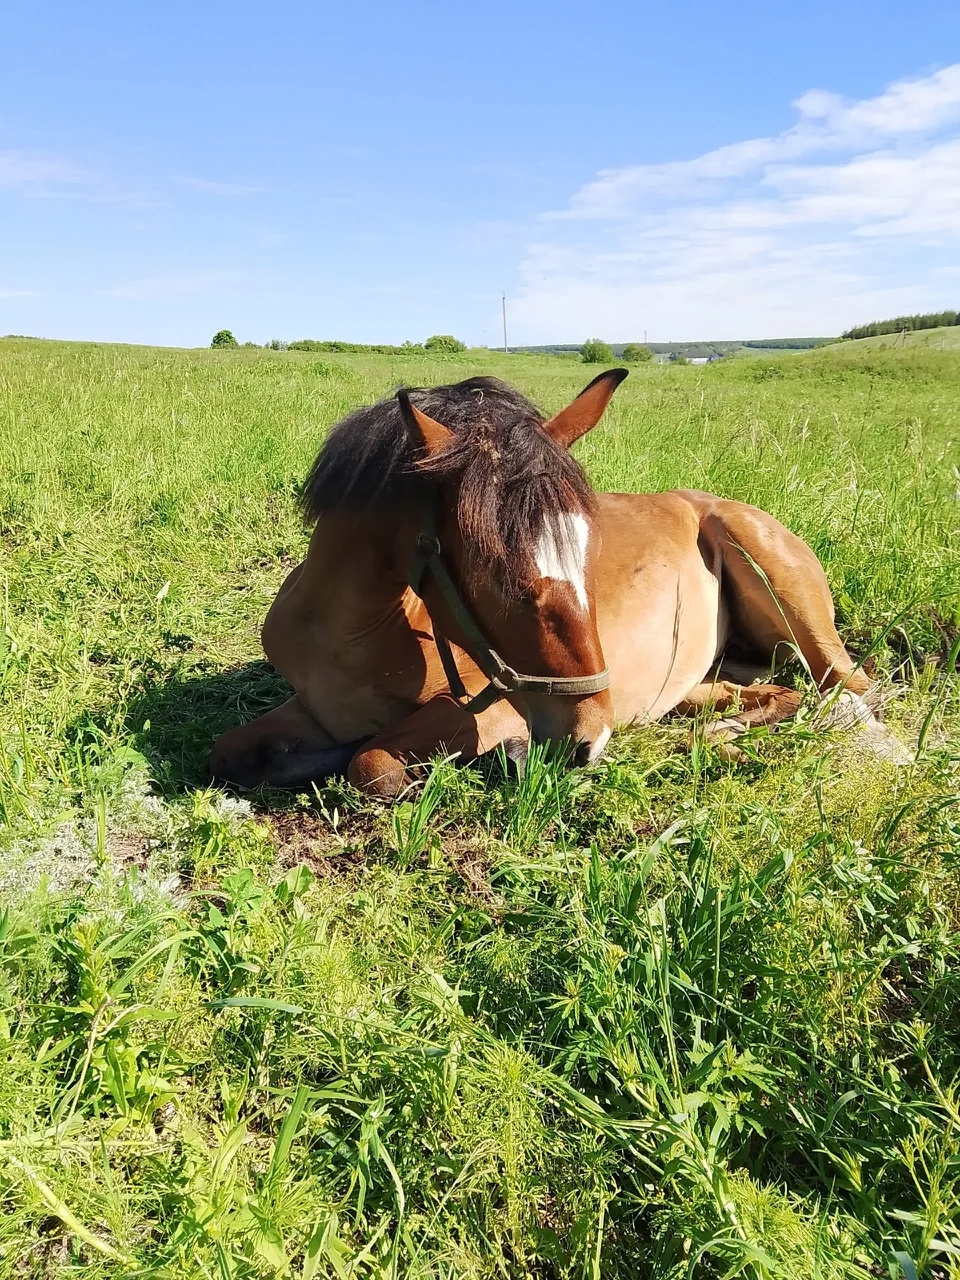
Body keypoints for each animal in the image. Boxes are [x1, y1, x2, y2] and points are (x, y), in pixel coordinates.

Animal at [209, 369, 887, 798]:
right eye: (490, 568)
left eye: (586, 550)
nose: (586, 738)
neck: (351, 634)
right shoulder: (314, 711)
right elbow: (231, 750)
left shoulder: (485, 713)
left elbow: (371, 763)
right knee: (762, 695)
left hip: (783, 592)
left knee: (848, 692)